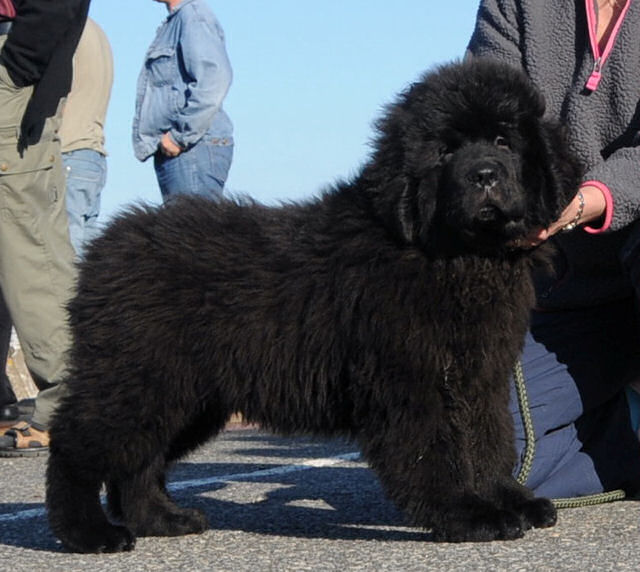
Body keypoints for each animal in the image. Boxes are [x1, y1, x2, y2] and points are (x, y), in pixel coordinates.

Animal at [45, 57, 580, 548]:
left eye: (505, 142)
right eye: (446, 151)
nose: (485, 175)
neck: (454, 256)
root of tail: (107, 246)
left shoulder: (480, 376)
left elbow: (490, 441)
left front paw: (507, 499)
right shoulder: (410, 380)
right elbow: (435, 451)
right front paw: (467, 514)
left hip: (187, 395)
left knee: (139, 458)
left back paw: (161, 519)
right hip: (135, 377)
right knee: (77, 443)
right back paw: (89, 532)